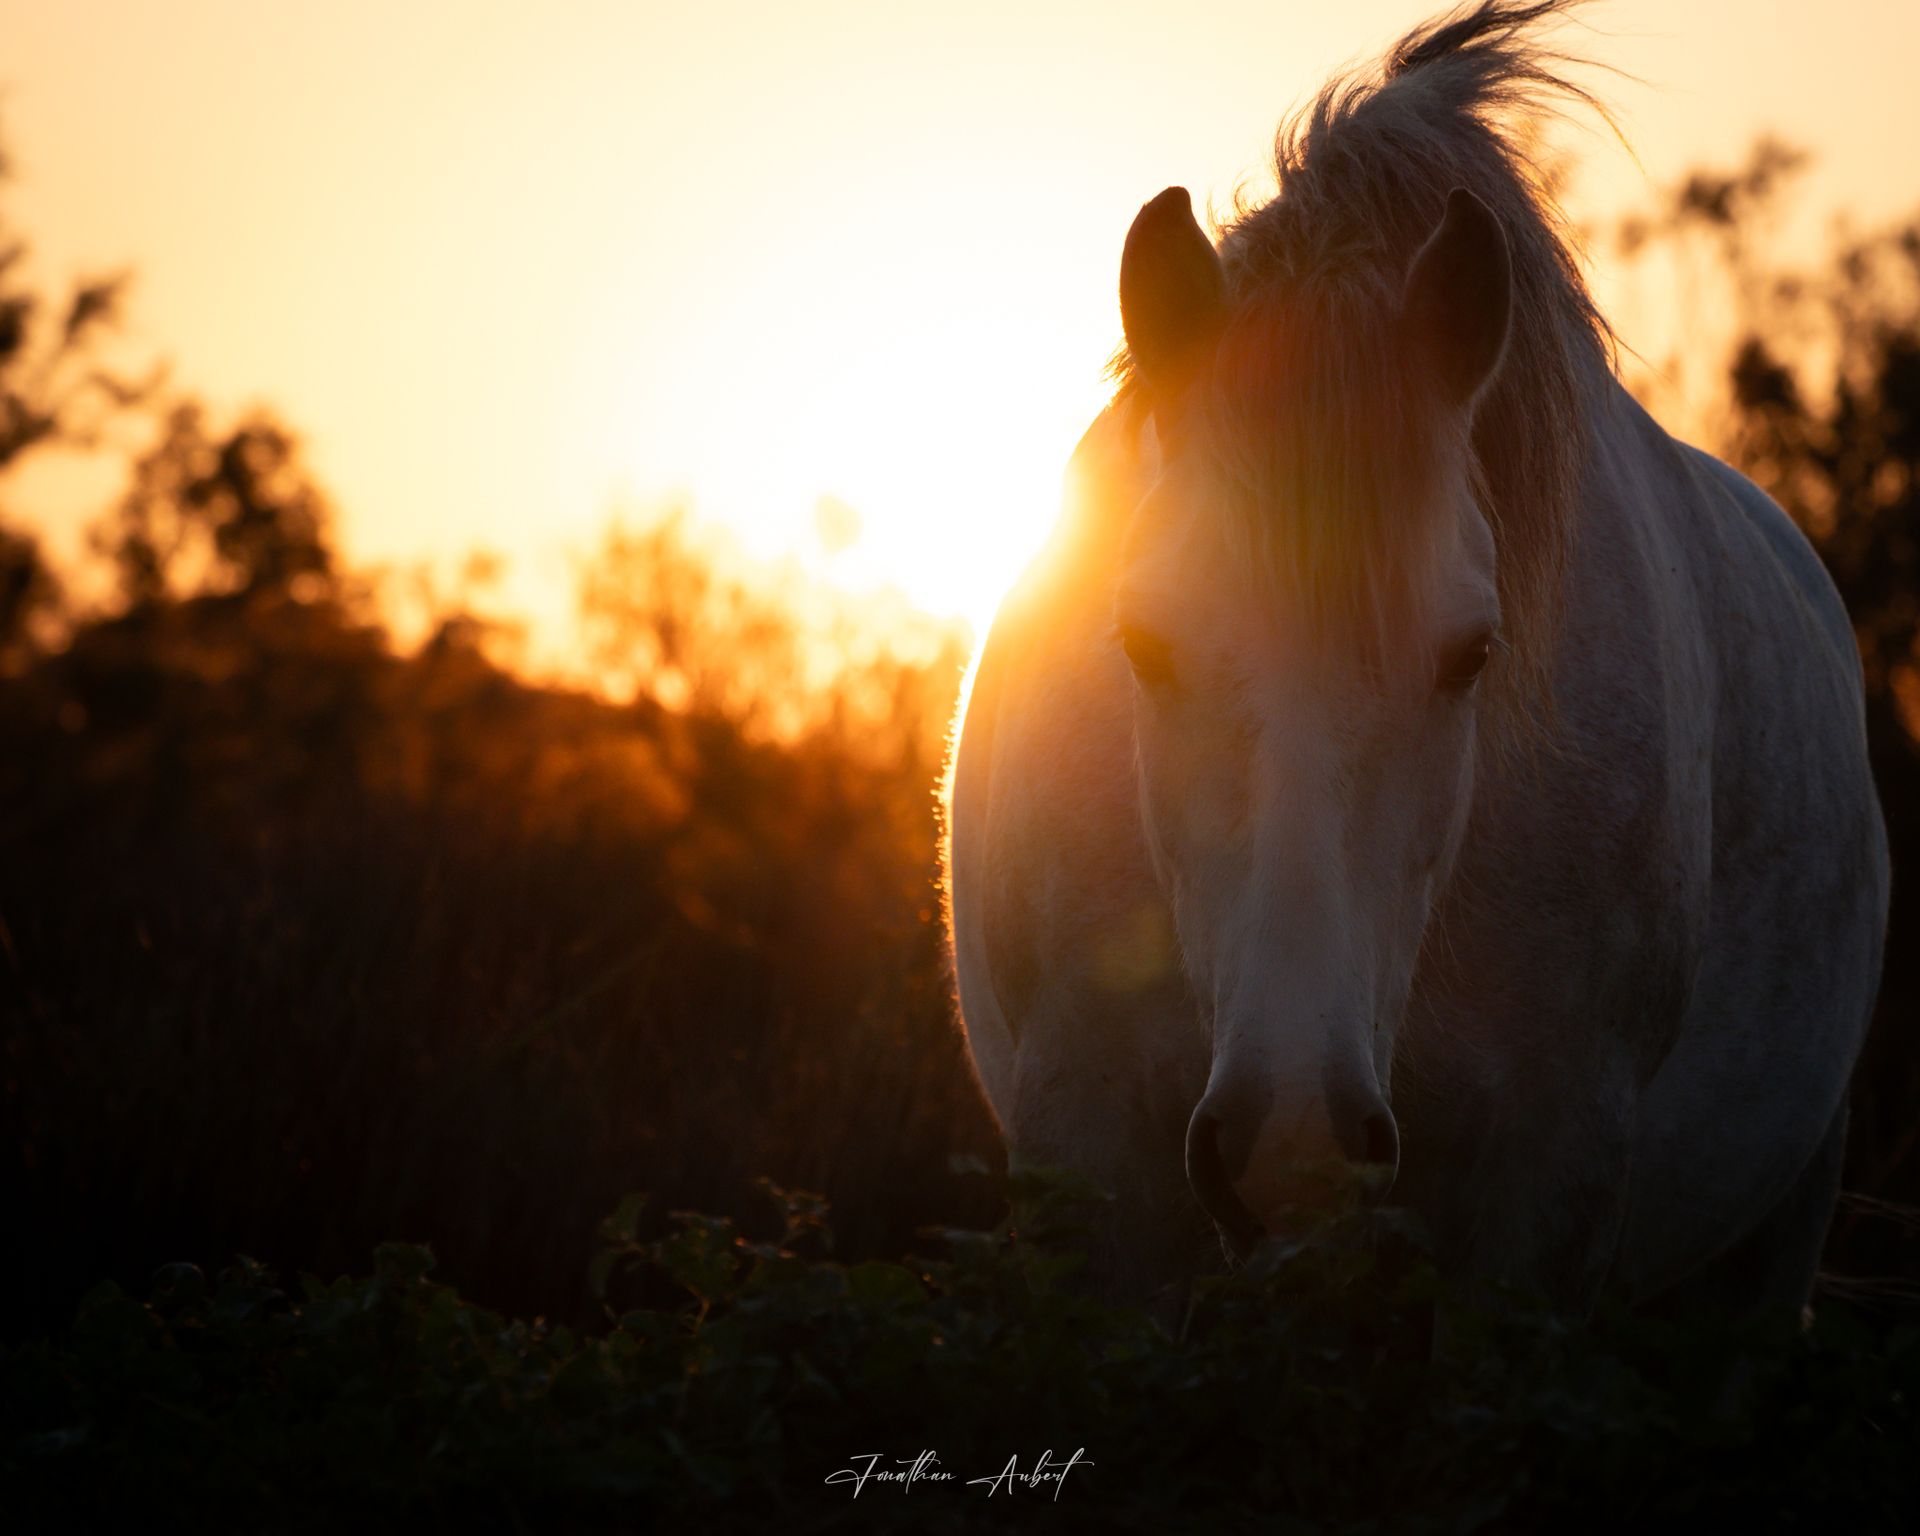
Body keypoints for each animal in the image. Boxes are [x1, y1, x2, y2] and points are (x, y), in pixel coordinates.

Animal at [944, 3, 1889, 1320]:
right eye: (1140, 642)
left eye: (1472, 656)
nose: (1291, 1142)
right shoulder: (1089, 1159)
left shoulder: (1547, 1188)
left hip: (1773, 1240)